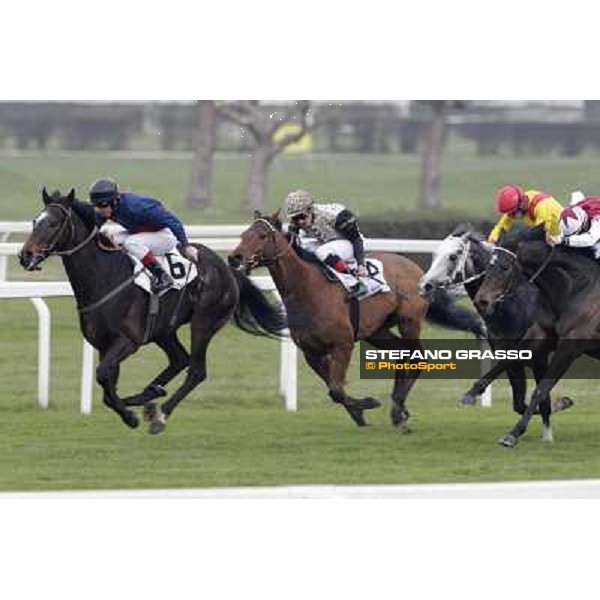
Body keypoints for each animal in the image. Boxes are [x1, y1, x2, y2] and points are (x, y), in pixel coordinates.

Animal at [19, 190, 288, 434]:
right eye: (35, 221)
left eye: (53, 223)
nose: (25, 255)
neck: (105, 276)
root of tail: (227, 268)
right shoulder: (105, 344)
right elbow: (107, 386)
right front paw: (131, 407)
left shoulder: (128, 341)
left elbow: (103, 375)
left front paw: (130, 417)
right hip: (164, 330)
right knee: (179, 359)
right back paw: (151, 393)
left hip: (204, 322)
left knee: (196, 371)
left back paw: (160, 413)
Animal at [229, 211, 482, 426]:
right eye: (243, 235)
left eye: (262, 235)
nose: (234, 257)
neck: (307, 289)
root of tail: (417, 270)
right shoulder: (311, 351)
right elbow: (334, 390)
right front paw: (359, 412)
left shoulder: (343, 343)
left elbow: (336, 389)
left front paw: (367, 404)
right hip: (377, 331)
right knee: (402, 355)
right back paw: (398, 406)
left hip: (409, 321)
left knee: (417, 357)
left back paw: (399, 406)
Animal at [474, 225, 600, 446]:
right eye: (488, 266)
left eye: (505, 267)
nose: (481, 301)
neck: (576, 287)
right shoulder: (542, 333)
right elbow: (510, 358)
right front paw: (473, 391)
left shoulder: (570, 346)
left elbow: (541, 390)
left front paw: (513, 434)